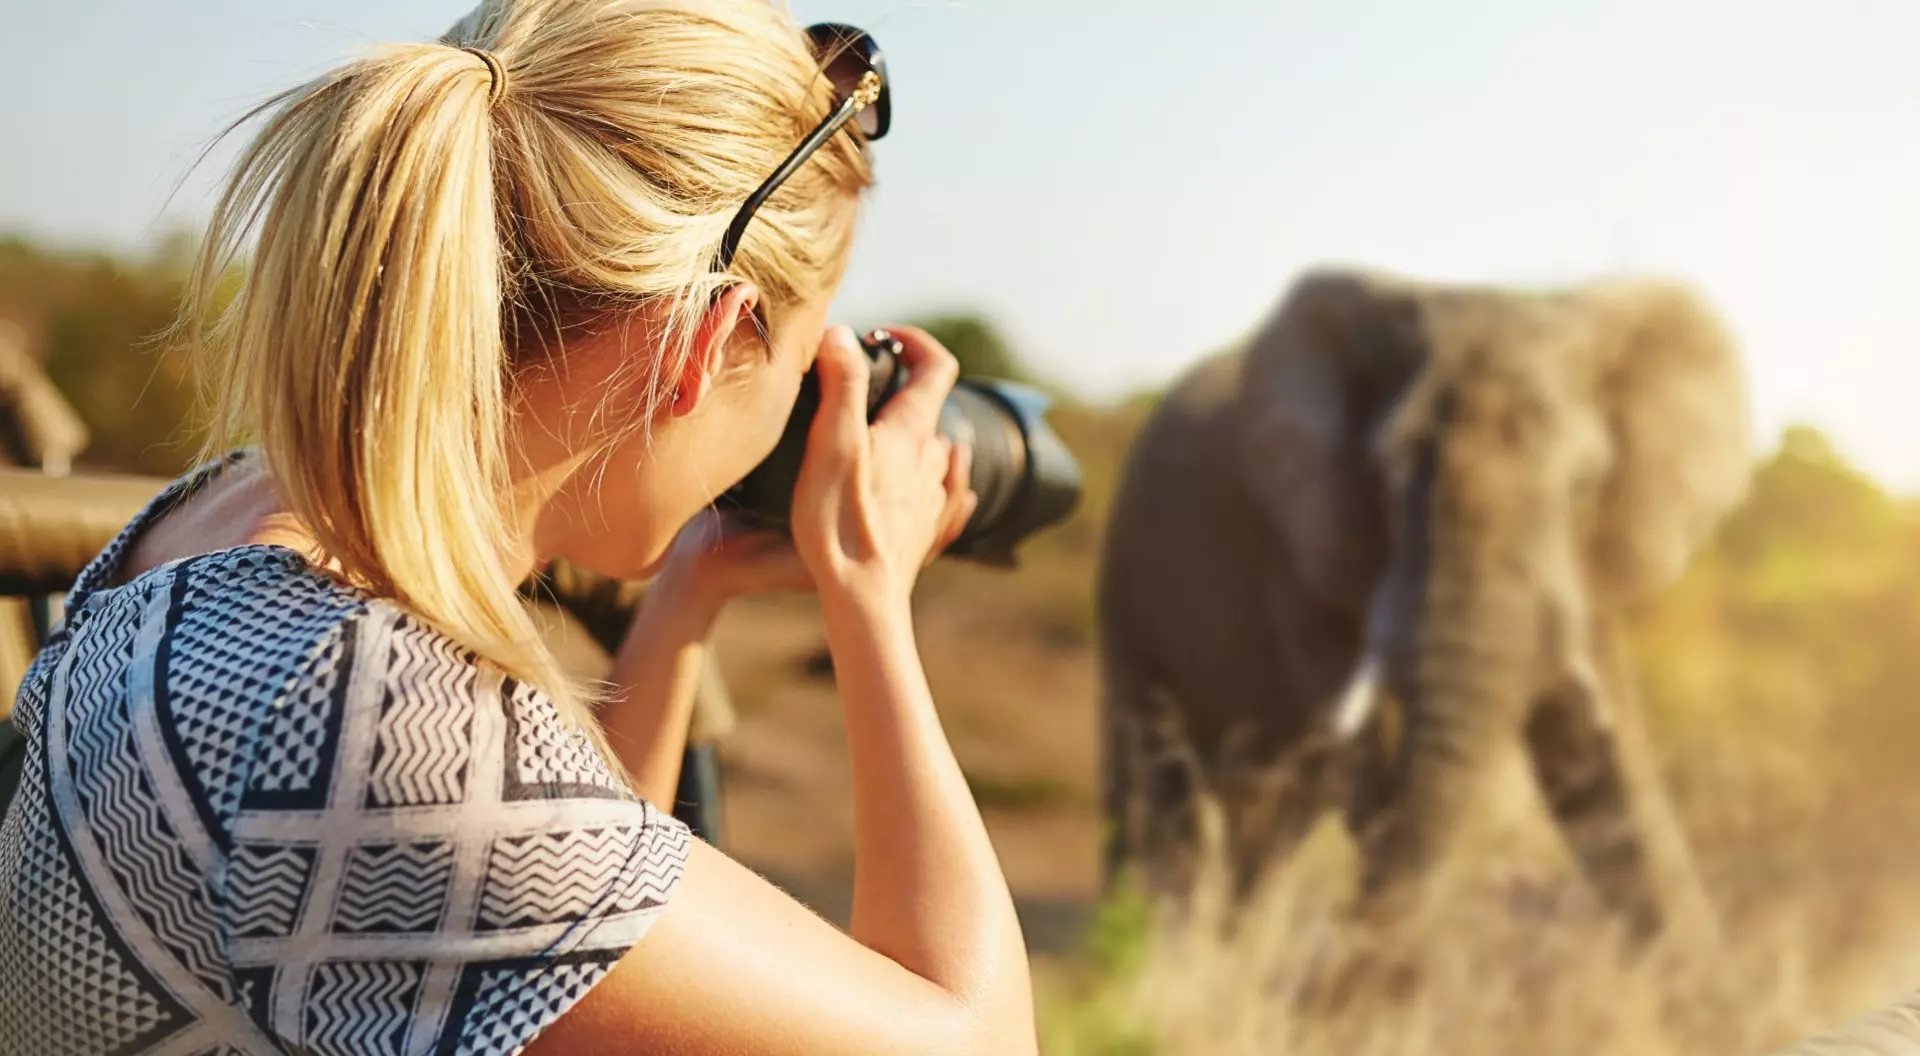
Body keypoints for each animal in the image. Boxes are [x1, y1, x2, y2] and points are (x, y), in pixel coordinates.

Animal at [1098, 269, 1749, 938]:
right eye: (1387, 470)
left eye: (1586, 484)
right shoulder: (1306, 557)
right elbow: (1377, 767)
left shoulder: (1586, 563)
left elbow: (1599, 767)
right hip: (1128, 590)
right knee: (1158, 804)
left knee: (1267, 832)